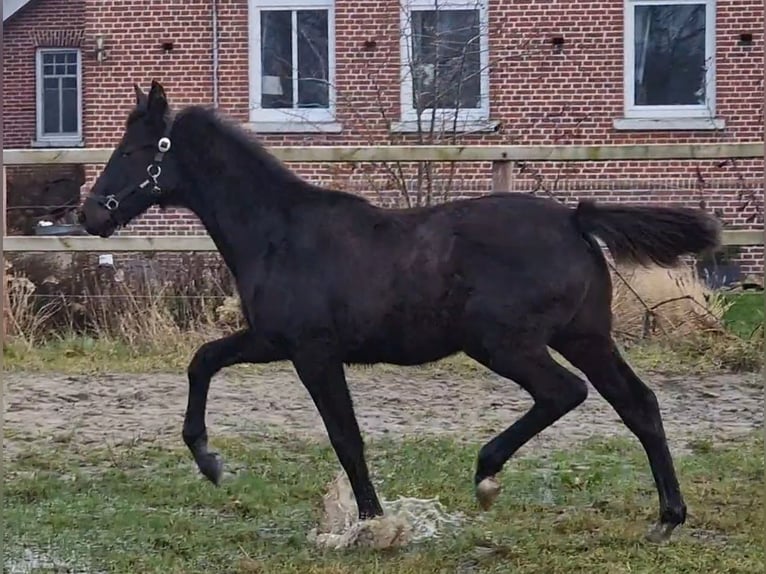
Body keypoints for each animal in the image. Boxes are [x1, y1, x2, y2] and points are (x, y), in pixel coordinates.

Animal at [78, 81, 722, 544]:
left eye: (132, 150)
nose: (90, 216)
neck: (279, 234)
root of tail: (574, 219)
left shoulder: (312, 351)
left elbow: (345, 435)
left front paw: (372, 521)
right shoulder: (269, 340)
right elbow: (203, 360)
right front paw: (210, 462)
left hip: (503, 342)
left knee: (565, 393)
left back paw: (487, 474)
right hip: (584, 336)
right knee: (638, 404)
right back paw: (667, 517)